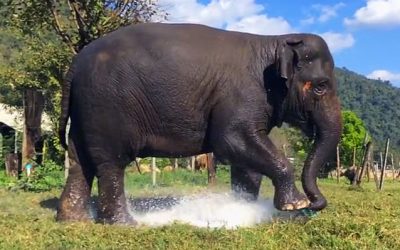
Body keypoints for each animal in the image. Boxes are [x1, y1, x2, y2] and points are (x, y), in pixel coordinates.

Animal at [56, 23, 342, 225]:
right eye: (321, 86)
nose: (316, 204)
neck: (273, 40)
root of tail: (75, 64)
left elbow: (245, 160)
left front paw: (244, 211)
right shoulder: (242, 95)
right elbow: (231, 140)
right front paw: (294, 205)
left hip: (85, 109)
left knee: (80, 161)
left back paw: (74, 220)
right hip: (107, 105)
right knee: (111, 163)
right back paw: (124, 224)